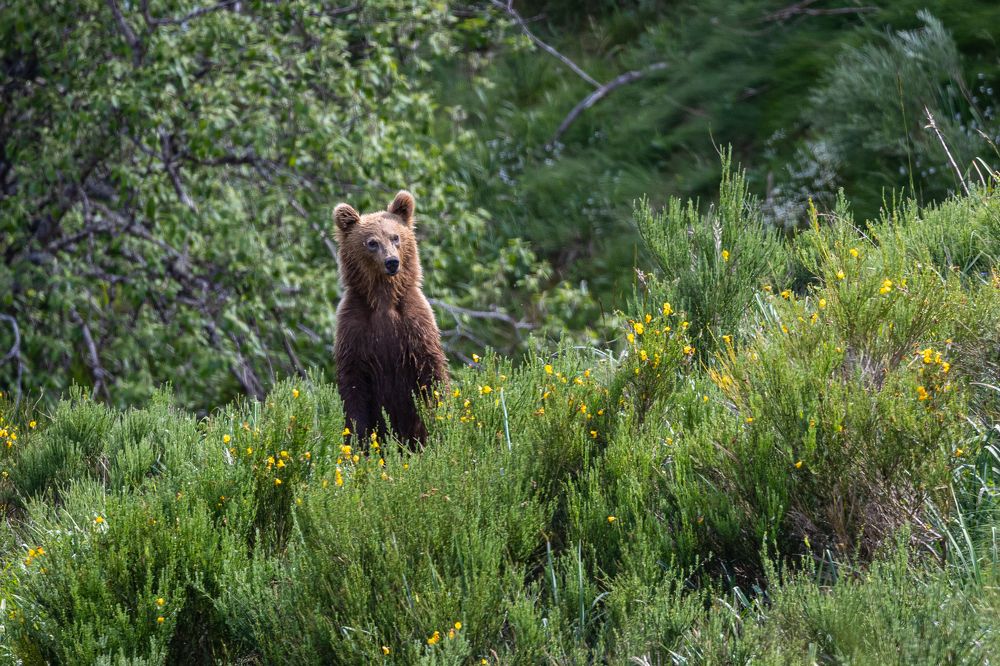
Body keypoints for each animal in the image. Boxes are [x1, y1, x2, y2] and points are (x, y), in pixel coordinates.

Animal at [333, 190, 449, 447]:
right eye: (371, 242)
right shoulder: (354, 326)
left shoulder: (415, 323)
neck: (383, 299)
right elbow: (354, 386)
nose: (392, 262)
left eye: (395, 237)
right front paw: (359, 438)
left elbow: (431, 372)